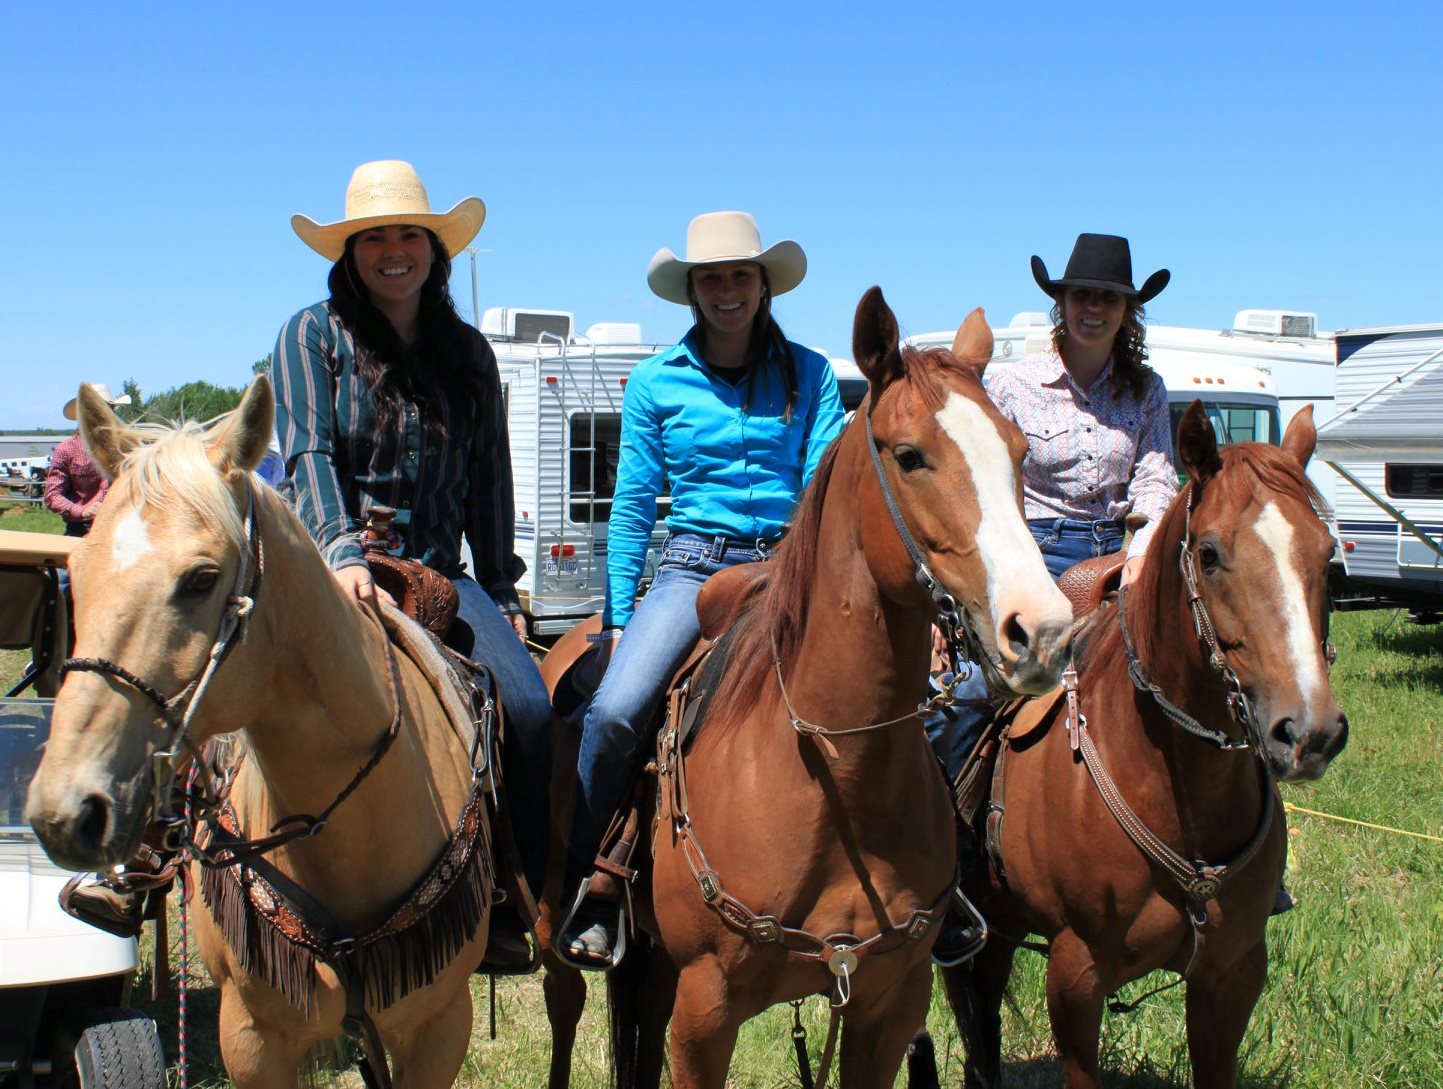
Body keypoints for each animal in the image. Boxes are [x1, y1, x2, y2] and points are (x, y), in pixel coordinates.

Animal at [545, 289, 1079, 1089]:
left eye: (1019, 455)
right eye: (909, 456)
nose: (1041, 630)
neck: (832, 777)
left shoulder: (889, 1002)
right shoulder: (705, 1011)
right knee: (564, 1008)